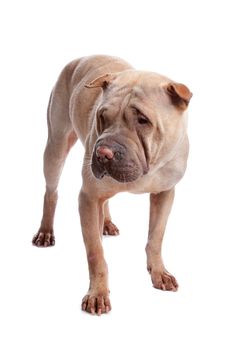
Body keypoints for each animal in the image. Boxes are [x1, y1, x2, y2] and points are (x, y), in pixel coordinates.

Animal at [32, 54, 193, 314]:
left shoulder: (165, 192)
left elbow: (156, 237)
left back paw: (106, 223)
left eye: (143, 120)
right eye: (102, 116)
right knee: (51, 192)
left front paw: (159, 272)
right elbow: (96, 252)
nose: (103, 153)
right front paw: (97, 294)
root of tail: (82, 57)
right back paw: (46, 232)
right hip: (55, 148)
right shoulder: (88, 198)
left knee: (105, 201)